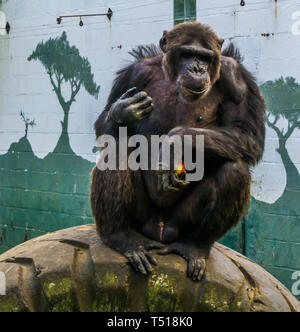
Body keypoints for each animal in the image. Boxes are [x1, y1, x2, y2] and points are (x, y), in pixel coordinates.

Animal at [91, 21, 264, 280]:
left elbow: (247, 134)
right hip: (143, 220)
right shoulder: (134, 73)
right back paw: (120, 236)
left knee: (235, 169)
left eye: (205, 57)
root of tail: (160, 232)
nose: (197, 68)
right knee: (116, 149)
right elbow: (104, 128)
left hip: (179, 224)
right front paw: (123, 111)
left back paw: (195, 246)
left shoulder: (237, 78)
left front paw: (176, 141)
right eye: (187, 54)